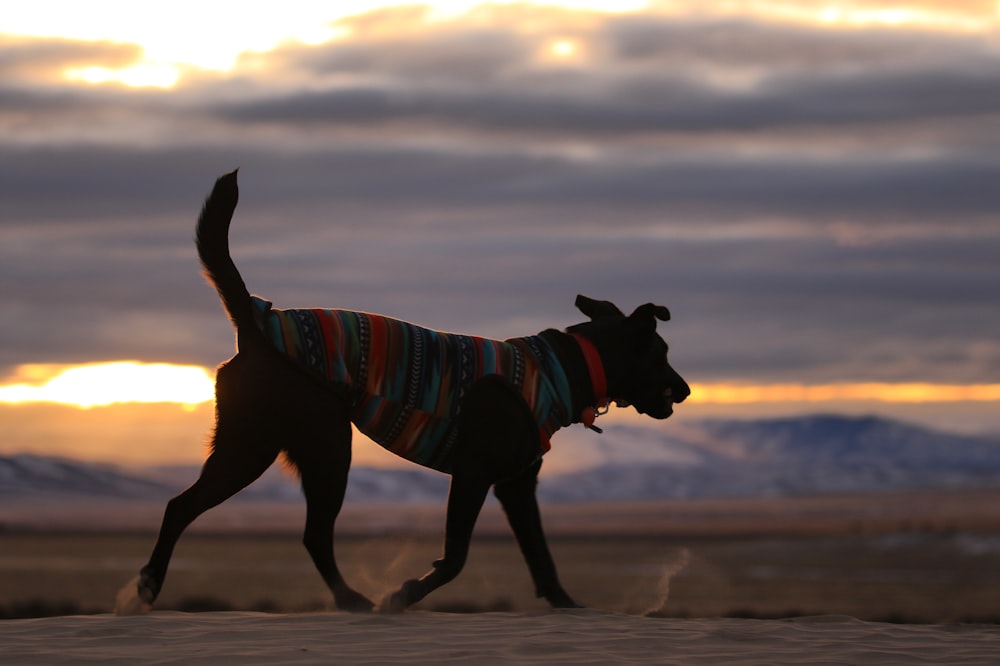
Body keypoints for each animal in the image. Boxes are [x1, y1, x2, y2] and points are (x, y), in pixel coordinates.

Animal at [119, 170, 688, 612]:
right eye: (660, 353)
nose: (683, 390)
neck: (561, 367)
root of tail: (256, 323)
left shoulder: (516, 485)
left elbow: (540, 554)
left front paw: (566, 603)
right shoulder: (474, 473)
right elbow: (456, 557)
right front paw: (407, 593)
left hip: (275, 447)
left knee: (232, 517)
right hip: (302, 447)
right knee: (249, 520)